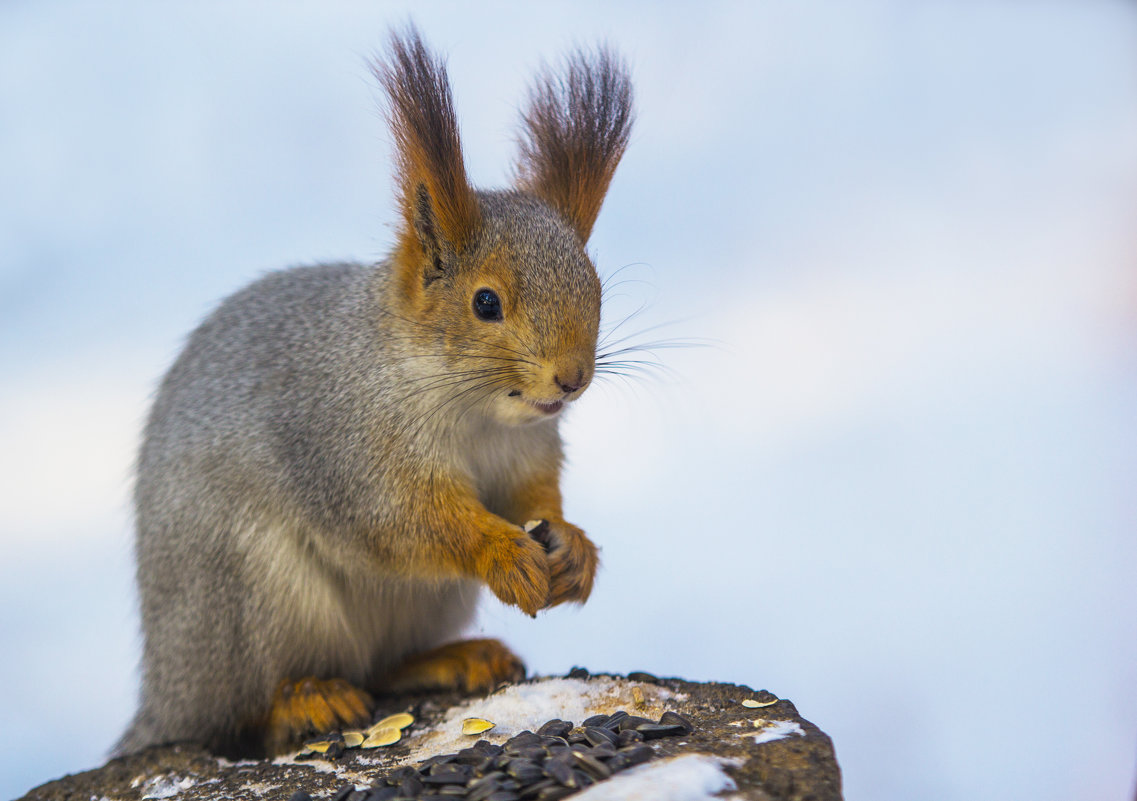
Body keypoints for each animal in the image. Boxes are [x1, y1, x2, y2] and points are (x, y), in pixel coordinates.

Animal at [118, 21, 636, 755]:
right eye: (485, 303)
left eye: (594, 288)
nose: (572, 378)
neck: (475, 414)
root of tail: (166, 694)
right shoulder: (350, 450)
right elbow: (406, 521)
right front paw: (501, 548)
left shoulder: (530, 449)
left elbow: (533, 499)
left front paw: (573, 546)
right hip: (248, 598)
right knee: (241, 712)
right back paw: (305, 699)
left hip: (423, 603)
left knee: (383, 668)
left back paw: (455, 657)